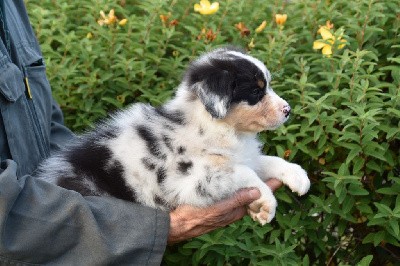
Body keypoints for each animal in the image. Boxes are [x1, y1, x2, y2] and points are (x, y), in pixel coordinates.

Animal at [37, 46, 310, 224]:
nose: (288, 110)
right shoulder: (192, 182)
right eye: (256, 92)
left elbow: (266, 161)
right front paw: (266, 204)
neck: (222, 129)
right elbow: (245, 173)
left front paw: (298, 176)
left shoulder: (239, 155)